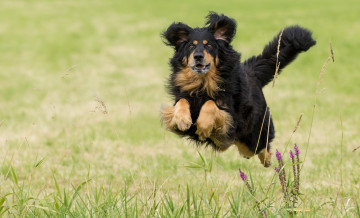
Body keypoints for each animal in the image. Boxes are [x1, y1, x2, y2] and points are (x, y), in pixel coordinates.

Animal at [160, 11, 316, 167]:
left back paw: (270, 160)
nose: (198, 56)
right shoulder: (184, 100)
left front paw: (203, 126)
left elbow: (211, 104)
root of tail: (251, 72)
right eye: (191, 47)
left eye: (209, 45)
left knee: (262, 146)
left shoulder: (231, 118)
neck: (203, 83)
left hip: (254, 133)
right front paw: (182, 119)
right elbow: (182, 102)